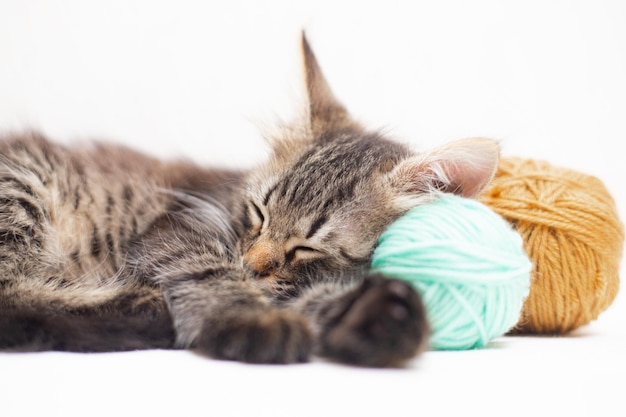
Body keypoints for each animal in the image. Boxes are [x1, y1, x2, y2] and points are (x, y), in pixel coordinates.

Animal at [0, 34, 498, 366]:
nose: (251, 264)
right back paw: (148, 311)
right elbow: (211, 274)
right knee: (17, 303)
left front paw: (378, 318)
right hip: (24, 187)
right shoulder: (179, 228)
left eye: (306, 247)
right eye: (258, 212)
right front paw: (250, 320)